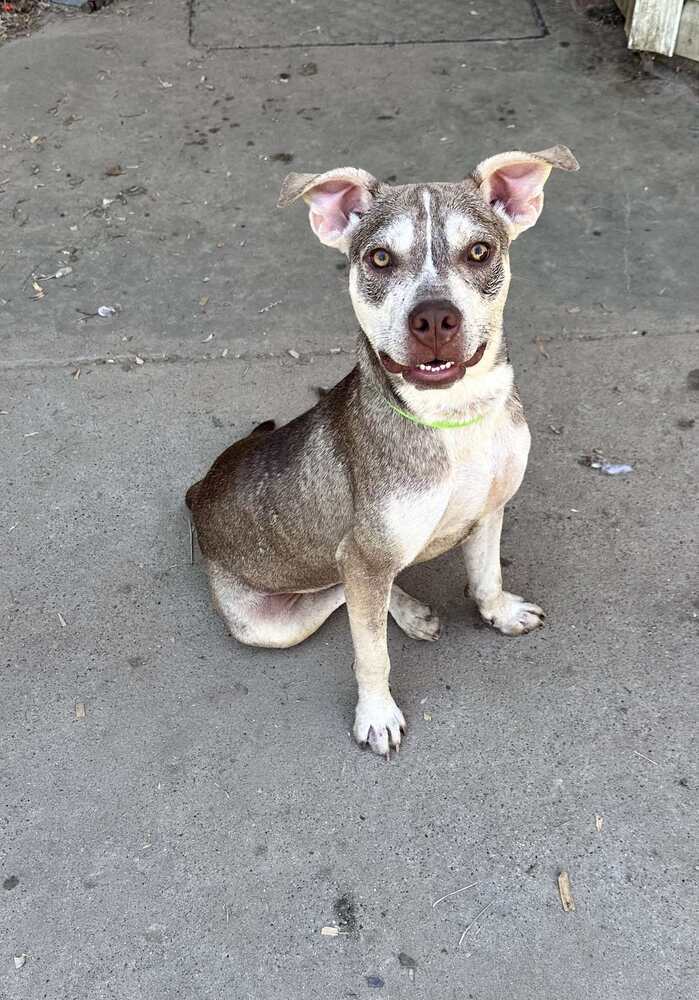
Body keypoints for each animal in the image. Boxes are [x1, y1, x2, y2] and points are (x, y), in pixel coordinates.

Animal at [186, 145, 580, 756]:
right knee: (339, 591)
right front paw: (376, 714)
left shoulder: (491, 508)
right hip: (270, 625)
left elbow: (486, 575)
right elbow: (370, 652)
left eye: (480, 251)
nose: (435, 318)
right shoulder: (366, 554)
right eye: (378, 258)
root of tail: (199, 492)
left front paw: (498, 612)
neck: (453, 418)